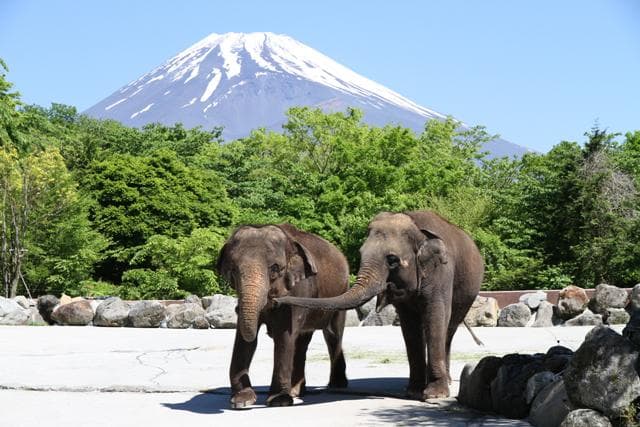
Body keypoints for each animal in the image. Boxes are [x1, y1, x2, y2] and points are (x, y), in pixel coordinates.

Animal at [216, 223, 350, 409]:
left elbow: (284, 336)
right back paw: (296, 391)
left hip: (341, 294)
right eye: (233, 270)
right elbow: (244, 339)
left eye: (274, 268)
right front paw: (242, 401)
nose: (235, 308)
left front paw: (279, 401)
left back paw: (336, 385)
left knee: (332, 334)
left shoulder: (298, 290)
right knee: (302, 341)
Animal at [275, 211, 484, 400]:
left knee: (448, 329)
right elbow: (409, 326)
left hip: (466, 295)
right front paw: (413, 392)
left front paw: (434, 395)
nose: (276, 300)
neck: (416, 227)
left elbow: (435, 316)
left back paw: (445, 382)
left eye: (392, 260)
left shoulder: (441, 272)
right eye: (360, 253)